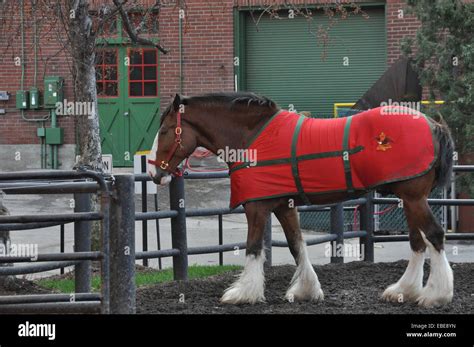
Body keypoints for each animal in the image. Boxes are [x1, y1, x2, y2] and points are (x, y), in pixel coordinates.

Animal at [148, 92, 456, 308]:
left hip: (414, 198)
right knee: (418, 243)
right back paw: (404, 291)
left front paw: (243, 292)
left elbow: (253, 248)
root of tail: (434, 125)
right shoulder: (284, 206)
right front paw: (307, 290)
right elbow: (297, 245)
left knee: (434, 236)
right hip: (409, 199)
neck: (251, 138)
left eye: (164, 131)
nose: (153, 172)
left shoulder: (257, 208)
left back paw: (436, 295)